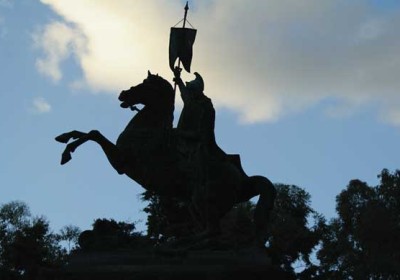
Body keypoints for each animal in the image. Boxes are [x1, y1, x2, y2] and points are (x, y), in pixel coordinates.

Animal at [55, 71, 276, 246]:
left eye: (145, 85)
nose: (123, 94)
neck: (146, 131)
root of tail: (244, 182)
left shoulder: (121, 162)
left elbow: (94, 134)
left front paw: (67, 153)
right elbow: (88, 132)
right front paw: (63, 137)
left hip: (202, 199)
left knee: (213, 231)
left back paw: (179, 244)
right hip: (193, 205)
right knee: (212, 232)